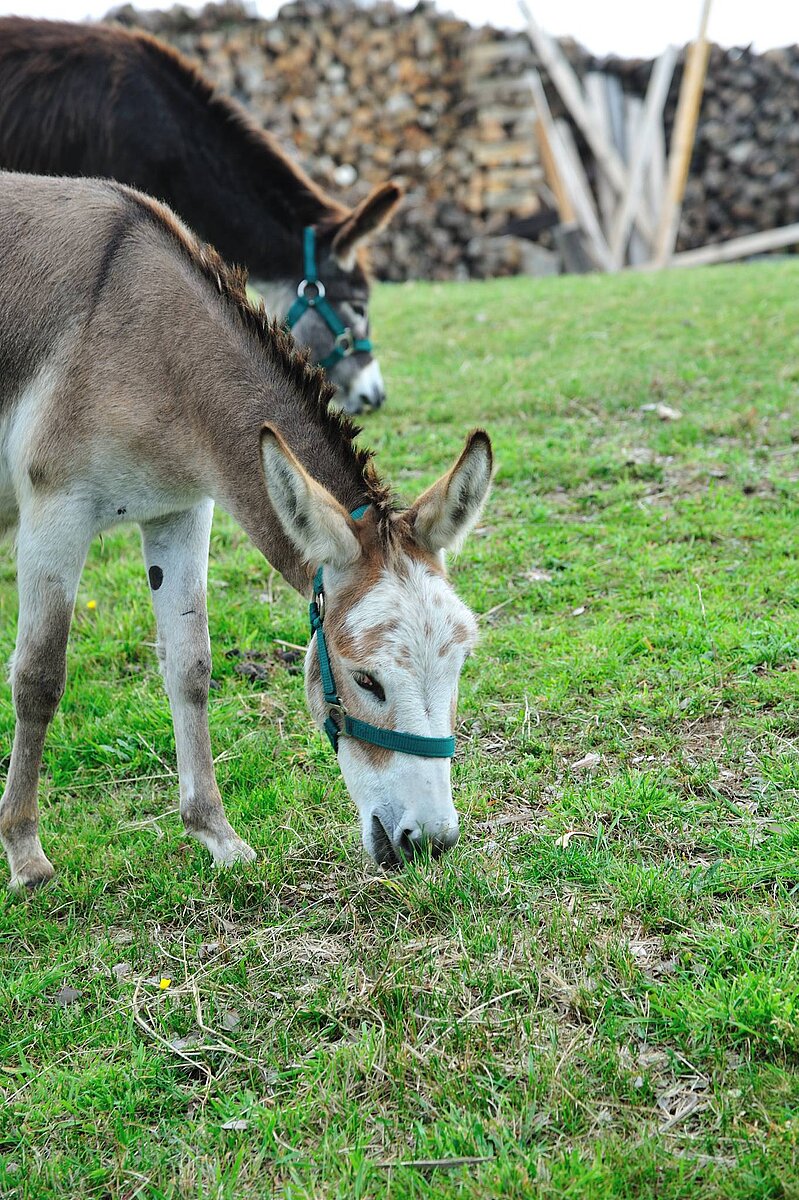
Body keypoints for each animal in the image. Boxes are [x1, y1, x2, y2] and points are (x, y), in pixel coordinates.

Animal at [0, 172, 493, 890]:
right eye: (365, 680)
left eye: (459, 665)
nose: (428, 841)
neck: (148, 341)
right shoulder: (54, 511)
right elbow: (39, 677)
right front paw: (25, 853)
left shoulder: (180, 512)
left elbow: (190, 667)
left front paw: (216, 833)